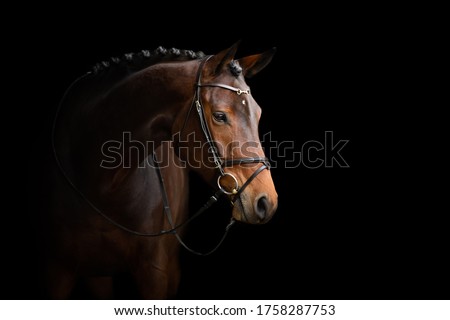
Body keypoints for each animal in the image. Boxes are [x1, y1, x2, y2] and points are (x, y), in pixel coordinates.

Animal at [40, 41, 278, 298]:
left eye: (259, 114)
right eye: (219, 116)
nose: (266, 201)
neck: (100, 184)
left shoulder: (155, 272)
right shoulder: (56, 272)